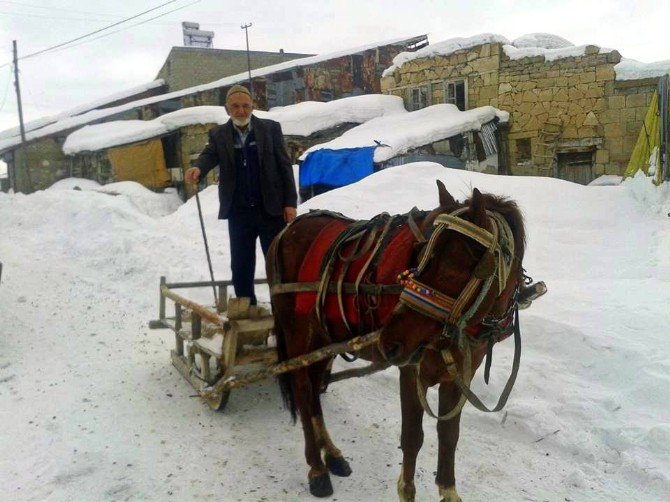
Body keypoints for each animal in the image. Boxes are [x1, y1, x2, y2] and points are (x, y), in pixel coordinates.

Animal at [266, 179, 524, 498]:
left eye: (455, 269)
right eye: (420, 257)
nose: (389, 342)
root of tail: (287, 230)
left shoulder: (459, 375)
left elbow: (449, 435)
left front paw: (448, 490)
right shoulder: (412, 369)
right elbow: (412, 437)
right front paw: (407, 491)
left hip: (323, 337)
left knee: (314, 390)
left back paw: (333, 455)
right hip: (298, 334)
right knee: (303, 391)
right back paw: (317, 469)